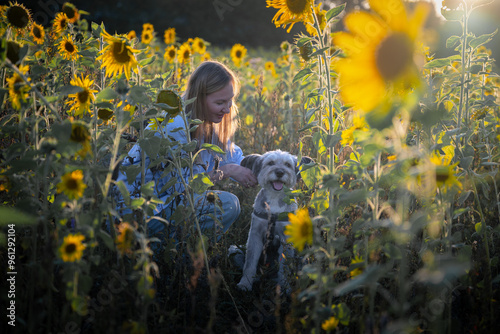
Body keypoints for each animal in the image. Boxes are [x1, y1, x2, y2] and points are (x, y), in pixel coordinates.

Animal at [236, 150, 310, 290]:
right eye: (270, 163)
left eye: (287, 164)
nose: (280, 172)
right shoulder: (255, 235)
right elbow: (250, 263)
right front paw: (245, 283)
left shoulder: (287, 239)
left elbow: (285, 265)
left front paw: (284, 286)